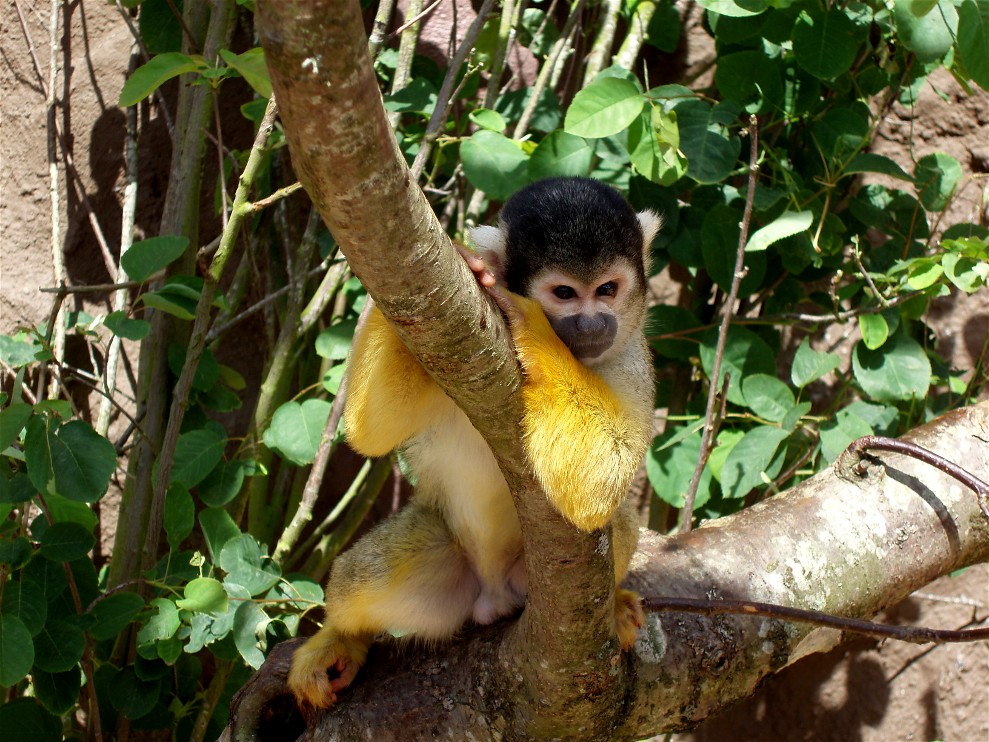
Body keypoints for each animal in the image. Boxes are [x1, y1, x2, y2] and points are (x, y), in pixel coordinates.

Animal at [288, 177, 661, 709]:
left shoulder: (631, 354)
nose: (593, 324)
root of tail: (492, 594)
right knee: (365, 574)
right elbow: (371, 428)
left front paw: (532, 328)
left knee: (621, 521)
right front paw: (465, 258)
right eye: (565, 293)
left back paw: (613, 605)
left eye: (607, 289)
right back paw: (341, 637)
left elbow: (598, 489)